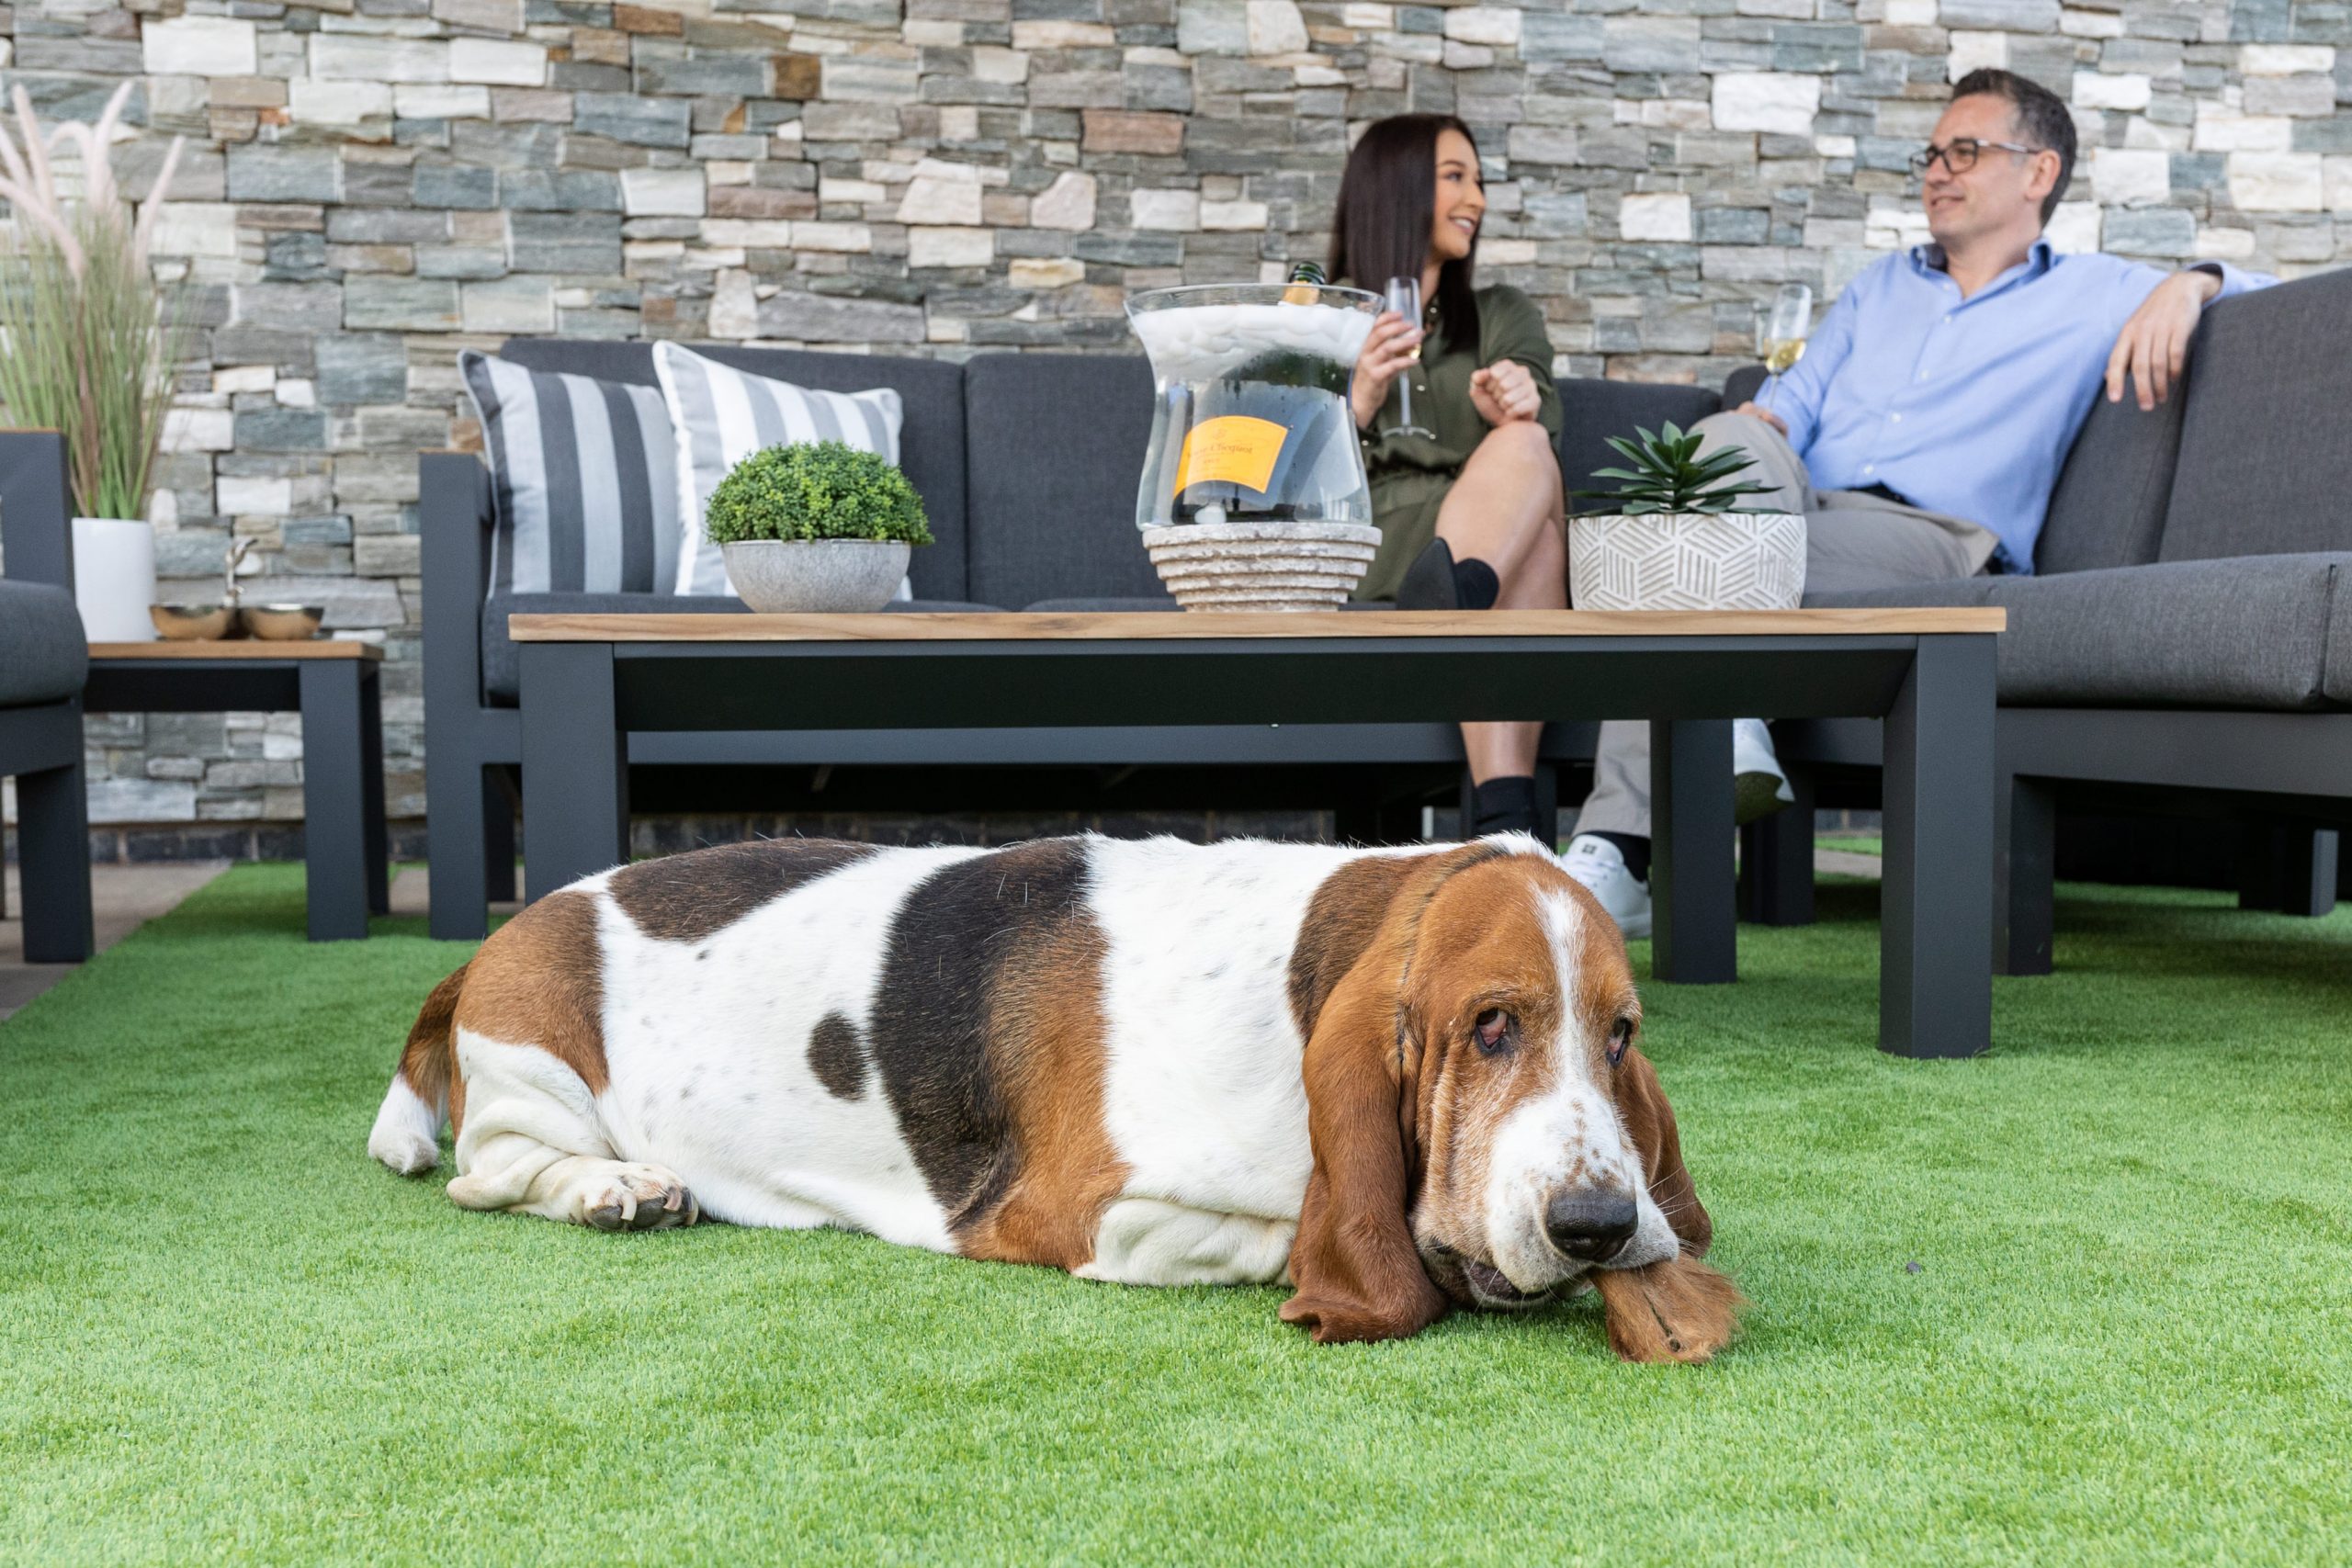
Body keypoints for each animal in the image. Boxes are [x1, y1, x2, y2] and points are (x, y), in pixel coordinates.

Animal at [367, 831, 1731, 1363]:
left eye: (1620, 1034)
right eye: (1490, 1026)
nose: (1602, 1226)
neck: (1289, 985)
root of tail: (506, 929)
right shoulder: (1087, 1210)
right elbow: (1283, 1231)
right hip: (535, 1074)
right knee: (493, 1169)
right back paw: (617, 1188)